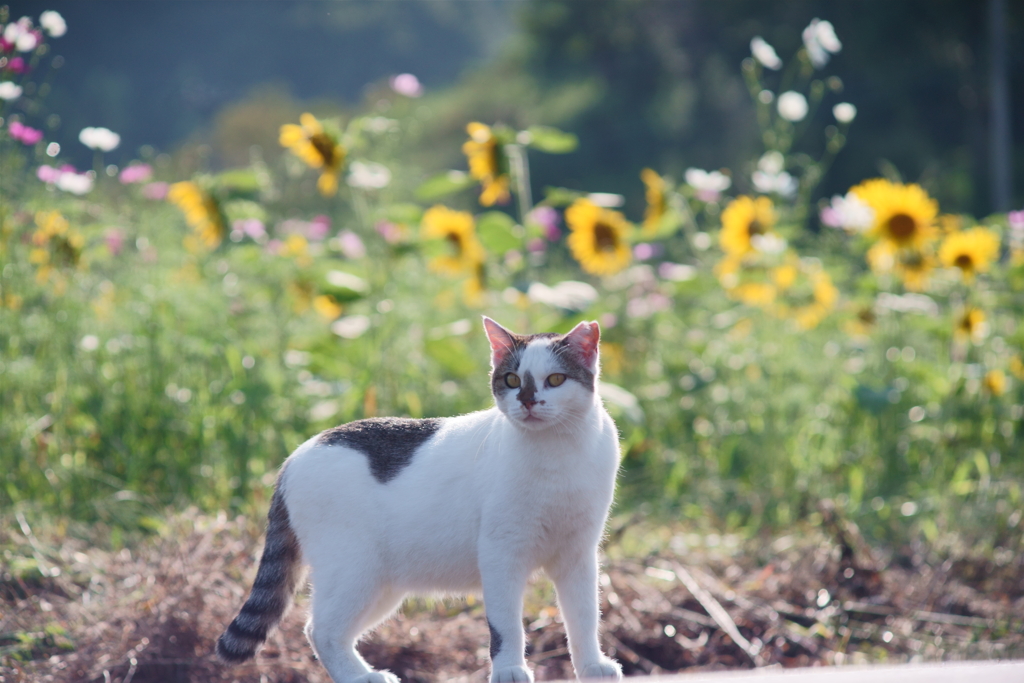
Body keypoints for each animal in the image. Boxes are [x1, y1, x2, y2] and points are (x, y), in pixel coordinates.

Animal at [216, 317, 622, 683]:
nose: (527, 400)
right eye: (511, 380)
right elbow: (506, 625)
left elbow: (585, 617)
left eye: (555, 380)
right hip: (352, 570)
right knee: (320, 630)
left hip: (380, 586)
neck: (557, 453)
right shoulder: (501, 553)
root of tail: (292, 458)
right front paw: (509, 670)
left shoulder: (578, 555)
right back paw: (363, 678)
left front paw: (591, 666)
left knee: (330, 630)